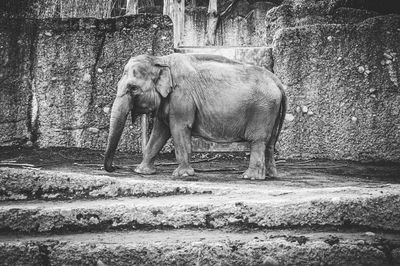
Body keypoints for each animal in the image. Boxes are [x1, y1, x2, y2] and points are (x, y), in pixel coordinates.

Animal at [104, 53, 286, 180]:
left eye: (133, 88)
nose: (115, 168)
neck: (160, 59)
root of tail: (278, 82)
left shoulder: (181, 96)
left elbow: (179, 128)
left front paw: (182, 175)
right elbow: (159, 133)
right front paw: (141, 171)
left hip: (263, 109)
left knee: (258, 140)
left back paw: (250, 177)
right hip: (272, 111)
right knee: (270, 143)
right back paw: (270, 175)